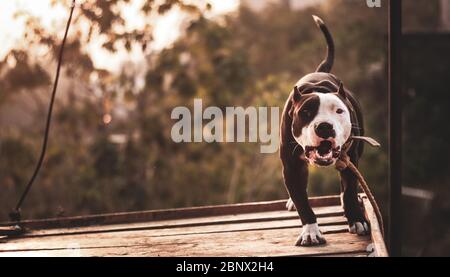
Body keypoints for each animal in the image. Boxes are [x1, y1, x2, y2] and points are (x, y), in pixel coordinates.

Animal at [278, 15, 370, 246]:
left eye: (339, 111)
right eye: (306, 112)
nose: (324, 126)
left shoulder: (350, 159)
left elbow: (349, 189)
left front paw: (356, 219)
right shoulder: (292, 167)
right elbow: (302, 203)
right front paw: (310, 231)